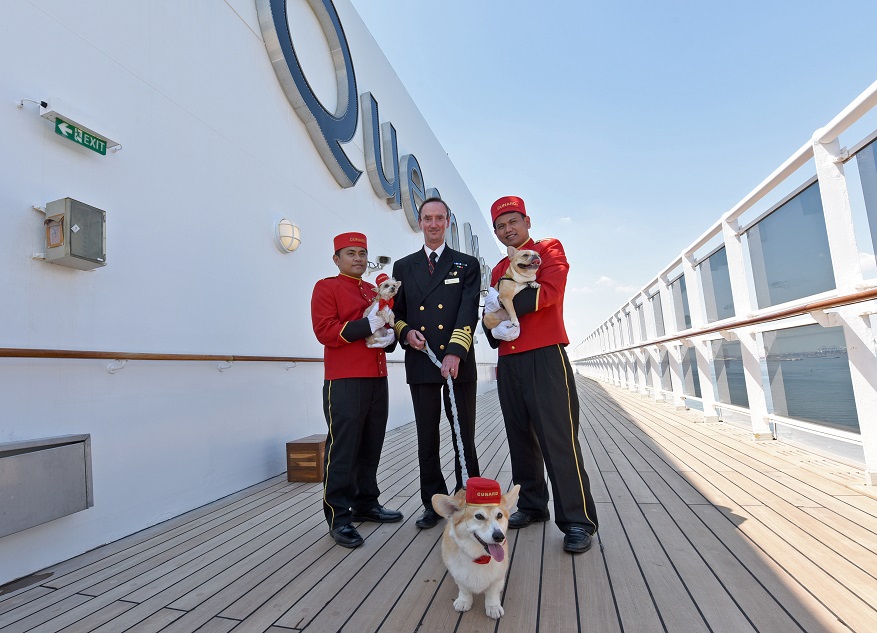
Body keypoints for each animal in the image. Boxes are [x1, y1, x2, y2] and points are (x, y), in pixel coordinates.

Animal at [432, 478, 520, 616]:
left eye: (499, 515)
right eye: (479, 516)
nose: (499, 536)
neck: (480, 558)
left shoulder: (498, 577)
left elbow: (492, 593)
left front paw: (493, 607)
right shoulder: (459, 575)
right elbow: (464, 590)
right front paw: (464, 602)